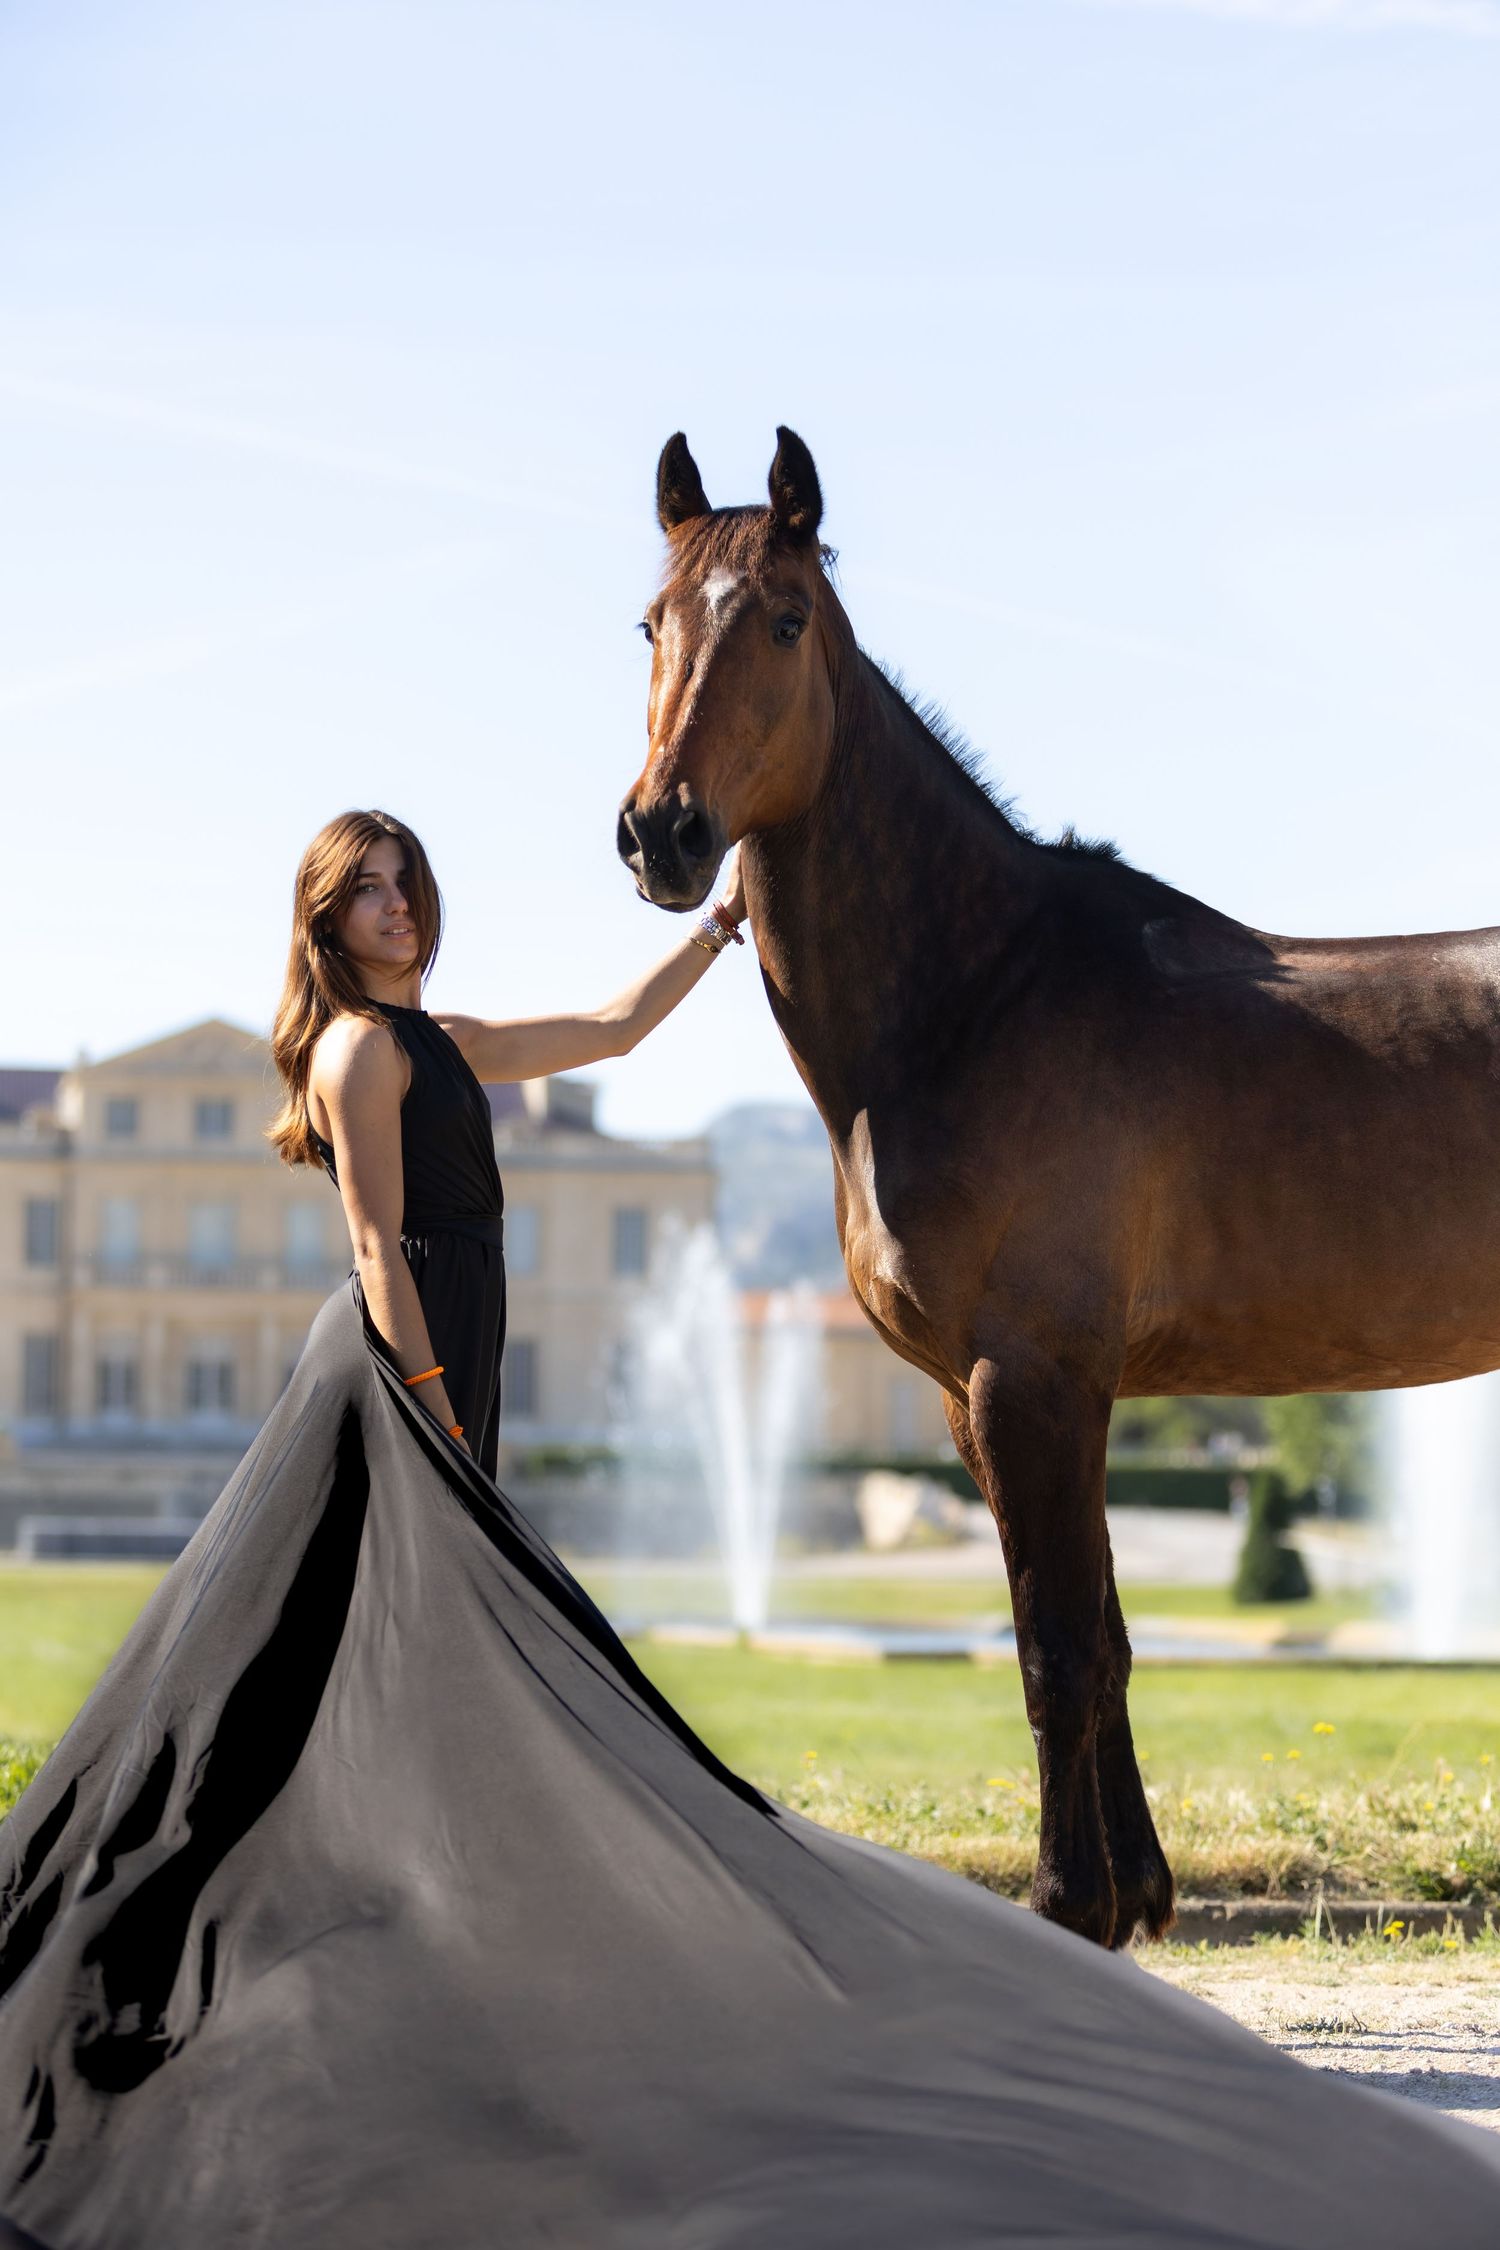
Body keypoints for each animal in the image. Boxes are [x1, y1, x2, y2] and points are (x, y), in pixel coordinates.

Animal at [616, 427, 1500, 1949]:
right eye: (649, 623)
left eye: (783, 618)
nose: (662, 833)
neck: (976, 995)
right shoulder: (984, 1398)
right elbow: (1112, 1635)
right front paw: (1137, 1890)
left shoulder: (1032, 1379)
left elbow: (1054, 1648)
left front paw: (1066, 1900)